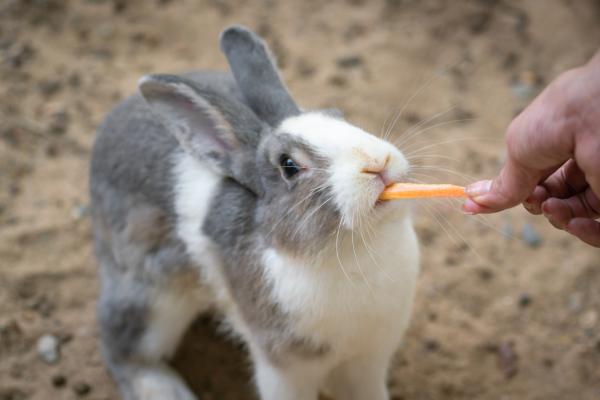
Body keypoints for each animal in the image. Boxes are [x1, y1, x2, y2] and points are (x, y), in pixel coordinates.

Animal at [90, 25, 418, 400]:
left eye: (339, 115)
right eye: (288, 166)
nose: (378, 163)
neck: (359, 250)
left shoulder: (368, 358)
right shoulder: (284, 369)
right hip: (150, 299)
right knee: (121, 346)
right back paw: (163, 389)